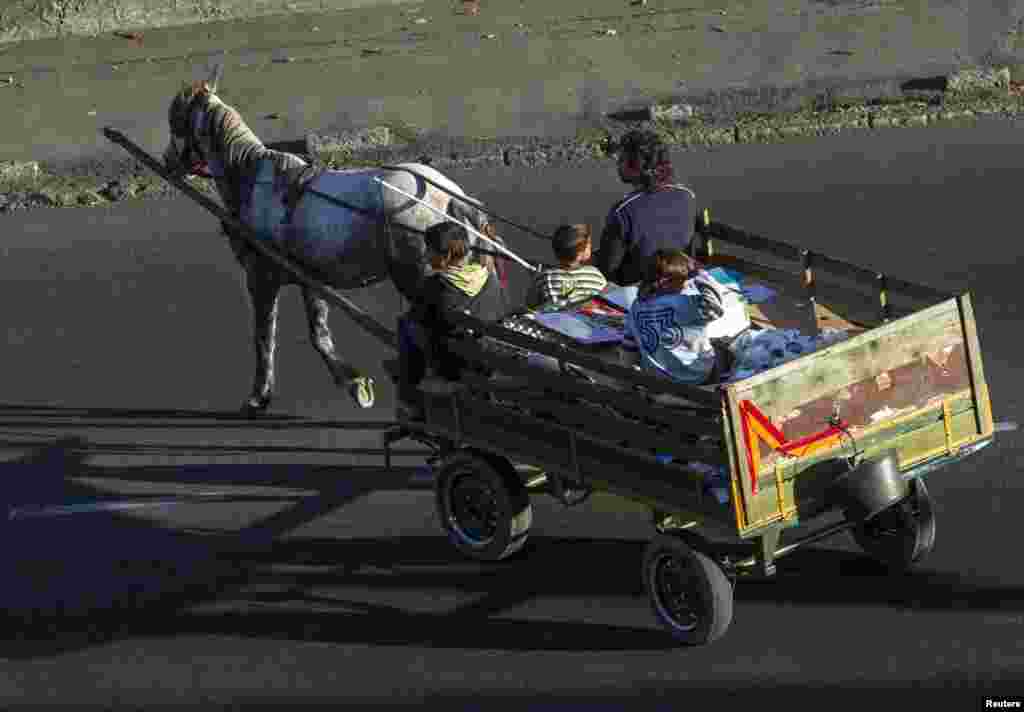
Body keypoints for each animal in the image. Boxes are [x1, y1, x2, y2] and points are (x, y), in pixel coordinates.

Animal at [160, 72, 507, 415]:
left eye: (175, 119)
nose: (167, 162)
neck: (252, 180)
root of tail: (451, 197)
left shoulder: (262, 278)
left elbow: (263, 338)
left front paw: (259, 396)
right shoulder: (310, 279)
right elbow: (319, 335)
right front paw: (355, 384)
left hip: (418, 279)